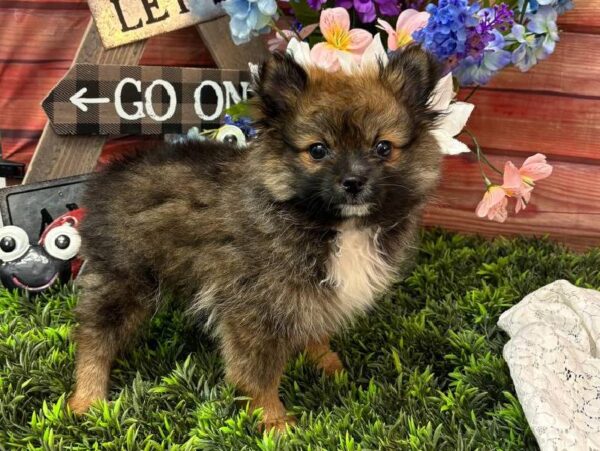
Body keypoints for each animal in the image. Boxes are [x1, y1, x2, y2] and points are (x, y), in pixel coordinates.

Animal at [70, 46, 442, 430]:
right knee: (93, 338)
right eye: (318, 150)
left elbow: (316, 330)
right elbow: (258, 375)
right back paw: (87, 399)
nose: (353, 181)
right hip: (124, 279)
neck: (332, 225)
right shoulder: (255, 309)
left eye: (383, 148)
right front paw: (276, 424)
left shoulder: (311, 293)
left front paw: (327, 363)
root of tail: (109, 176)